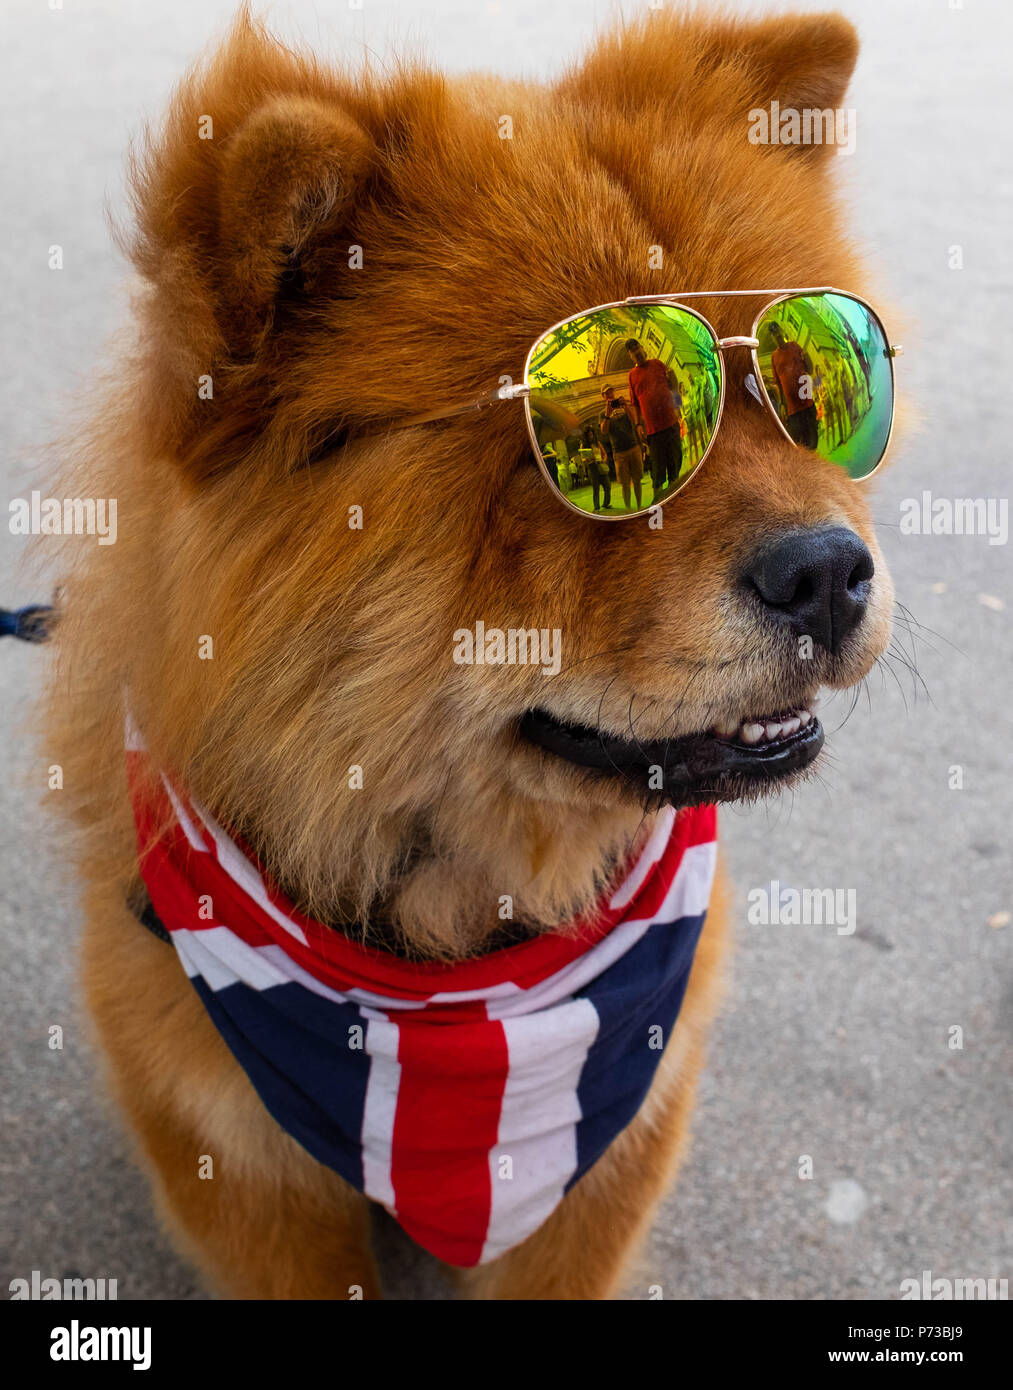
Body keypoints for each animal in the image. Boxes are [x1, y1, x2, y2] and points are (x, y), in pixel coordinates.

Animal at [41, 5, 894, 1295]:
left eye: (810, 390)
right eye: (604, 441)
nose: (828, 571)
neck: (455, 961)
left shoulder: (622, 1133)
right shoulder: (235, 1158)